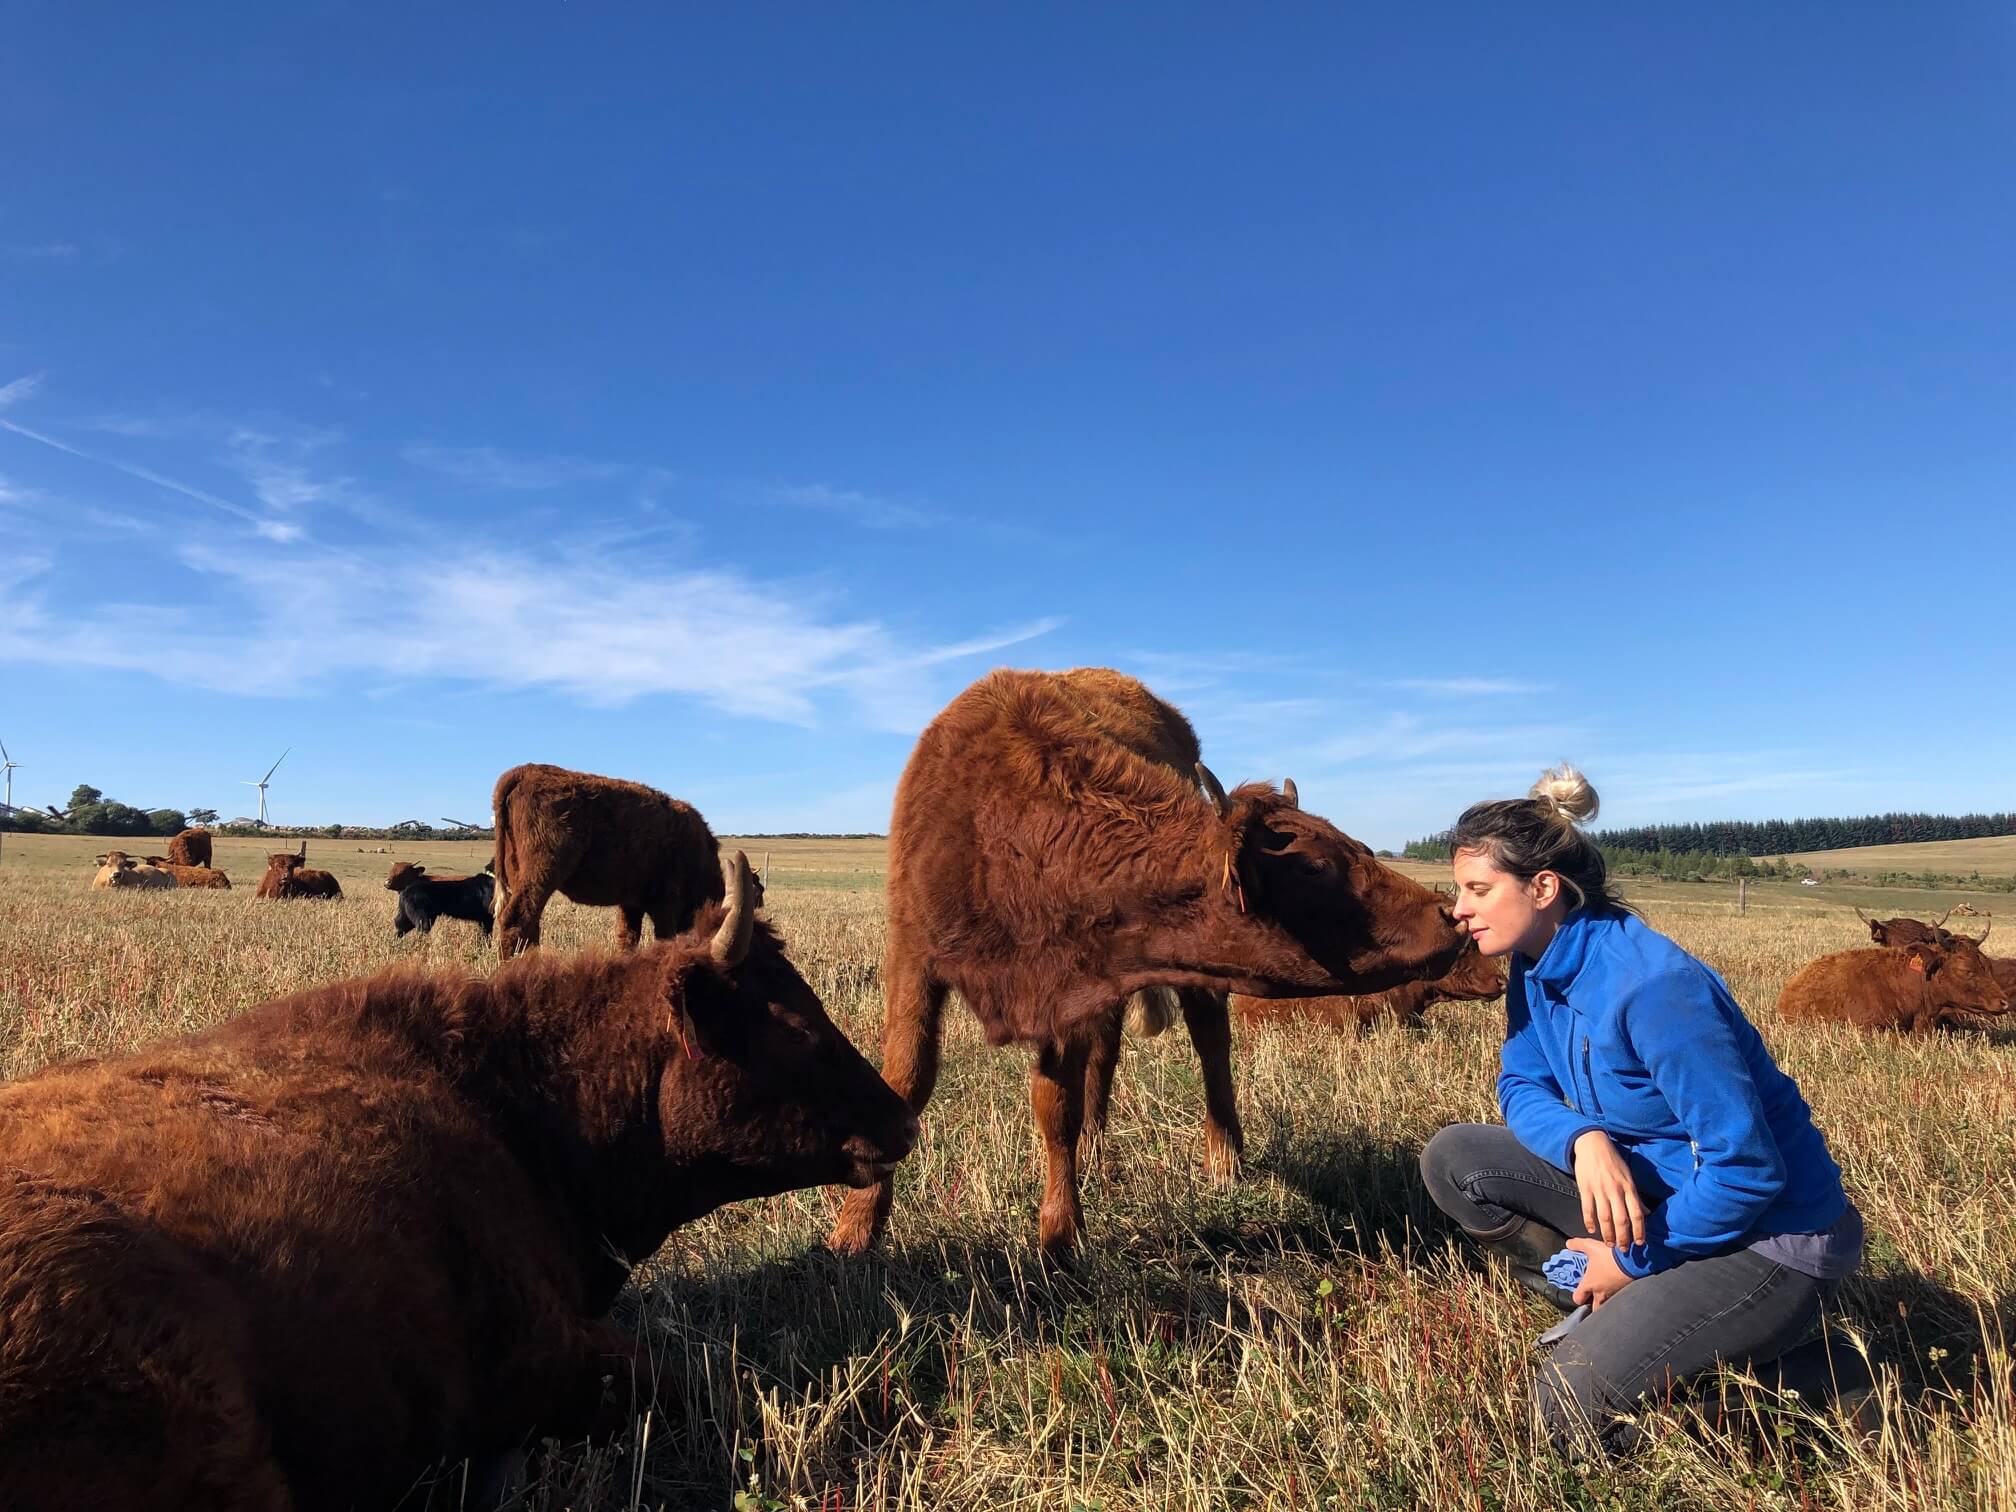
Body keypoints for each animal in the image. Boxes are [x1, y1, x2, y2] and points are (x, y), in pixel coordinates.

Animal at [491, 762, 729, 963]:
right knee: (518, 919)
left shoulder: (632, 903)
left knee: (529, 922)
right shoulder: (665, 903)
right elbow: (662, 937)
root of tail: (524, 772)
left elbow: (627, 937)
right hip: (542, 873)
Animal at [826, 669, 1475, 1257]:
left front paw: (1059, 1238)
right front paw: (855, 1232)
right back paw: (1095, 1153)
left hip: (1189, 984)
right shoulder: (915, 958)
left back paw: (1222, 1160)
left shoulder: (1067, 997)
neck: (1006, 828)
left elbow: (1054, 1107)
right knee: (1107, 1058)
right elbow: (907, 1080)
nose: (1450, 916)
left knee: (1209, 1046)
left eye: (1358, 845)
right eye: (1315, 866)